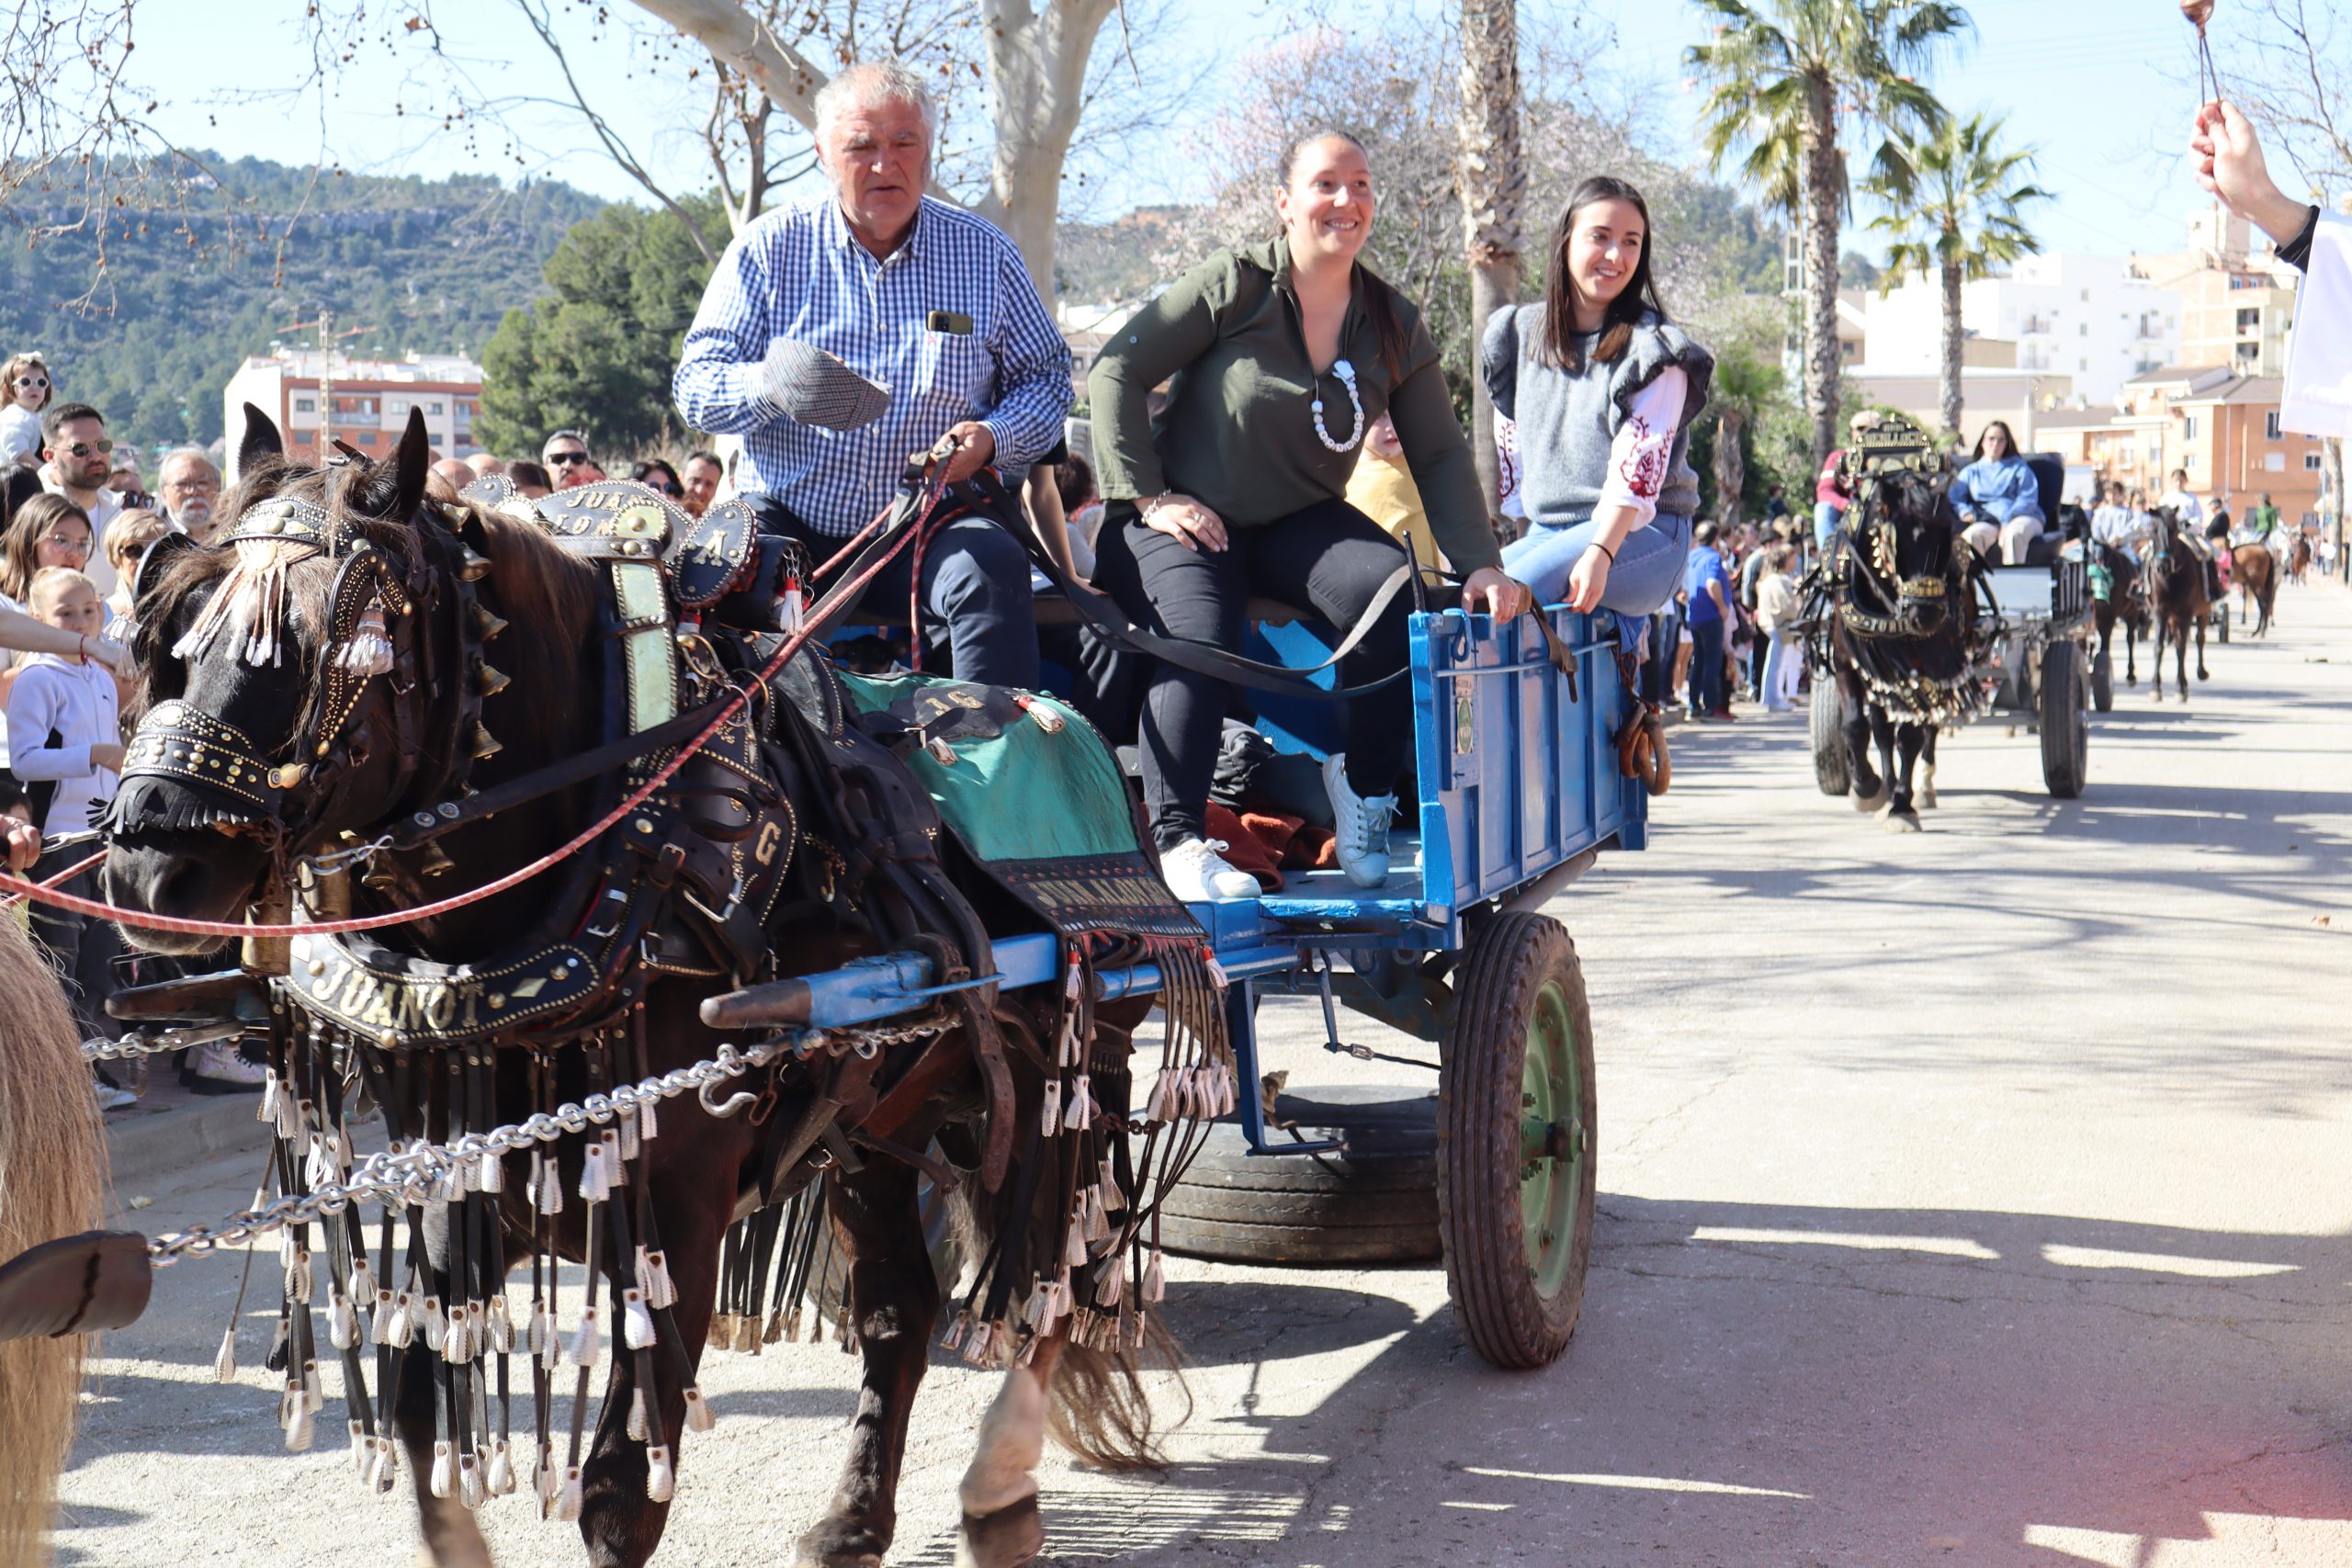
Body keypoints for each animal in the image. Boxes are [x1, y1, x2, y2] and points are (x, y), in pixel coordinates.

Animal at [73, 406, 1204, 1568]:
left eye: (315, 644)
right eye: (177, 630)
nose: (148, 865)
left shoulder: (678, 1199)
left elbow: (622, 1482)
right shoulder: (465, 1165)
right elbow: (422, 1406)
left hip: (1073, 1076)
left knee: (1057, 1286)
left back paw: (999, 1483)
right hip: (880, 1116)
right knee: (903, 1306)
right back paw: (854, 1519)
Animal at [1817, 456, 1985, 833]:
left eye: (1948, 534)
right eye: (1899, 538)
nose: (1927, 614)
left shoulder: (1922, 667)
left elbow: (1910, 737)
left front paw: (1903, 806)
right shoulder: (1848, 659)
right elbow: (1856, 726)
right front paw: (1866, 786)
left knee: (1930, 723)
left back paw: (1921, 787)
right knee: (1881, 727)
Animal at [2145, 507, 2211, 701]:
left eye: (2174, 531)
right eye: (2153, 530)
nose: (2162, 565)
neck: (2170, 579)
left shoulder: (2186, 613)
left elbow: (2182, 648)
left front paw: (2180, 688)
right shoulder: (2160, 612)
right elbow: (2159, 647)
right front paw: (2155, 688)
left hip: (2203, 611)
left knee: (2199, 638)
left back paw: (2200, 672)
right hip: (2172, 618)